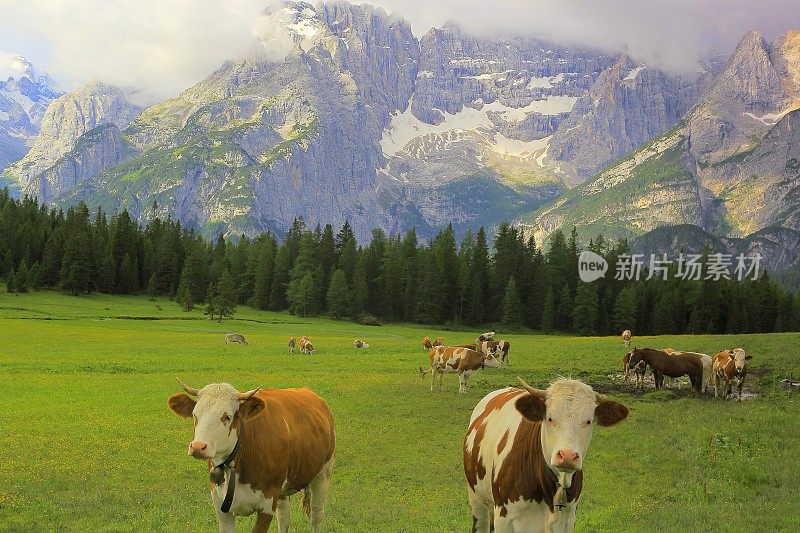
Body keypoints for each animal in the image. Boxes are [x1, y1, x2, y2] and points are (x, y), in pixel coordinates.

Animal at [168, 378, 334, 532]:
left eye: (227, 417)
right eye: (195, 415)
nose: (198, 447)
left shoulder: (267, 503)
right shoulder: (220, 505)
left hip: (323, 473)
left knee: (316, 516)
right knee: (284, 516)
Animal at [462, 376, 632, 528]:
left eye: (589, 421)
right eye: (549, 418)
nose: (567, 456)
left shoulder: (568, 519)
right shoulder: (504, 518)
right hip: (477, 500)